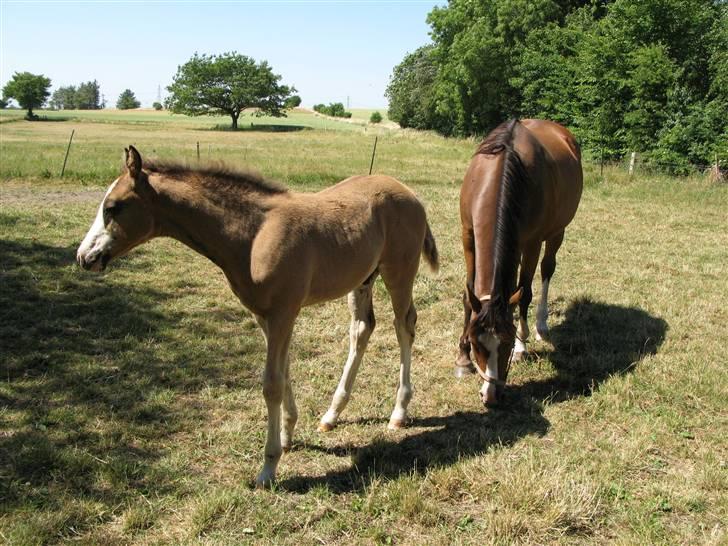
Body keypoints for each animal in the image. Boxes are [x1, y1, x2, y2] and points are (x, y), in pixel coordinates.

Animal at [77, 146, 438, 484]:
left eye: (113, 207)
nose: (84, 256)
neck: (253, 235)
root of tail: (410, 193)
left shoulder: (282, 313)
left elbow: (271, 384)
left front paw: (268, 467)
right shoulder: (264, 315)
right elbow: (285, 371)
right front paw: (288, 433)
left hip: (399, 273)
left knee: (403, 326)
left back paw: (398, 411)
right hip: (363, 279)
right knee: (362, 328)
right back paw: (331, 415)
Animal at [458, 120, 584, 408]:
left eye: (505, 343)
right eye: (476, 344)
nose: (491, 395)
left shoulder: (532, 242)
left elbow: (524, 293)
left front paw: (521, 346)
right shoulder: (468, 235)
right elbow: (468, 295)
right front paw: (462, 358)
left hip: (556, 232)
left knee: (547, 271)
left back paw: (541, 326)